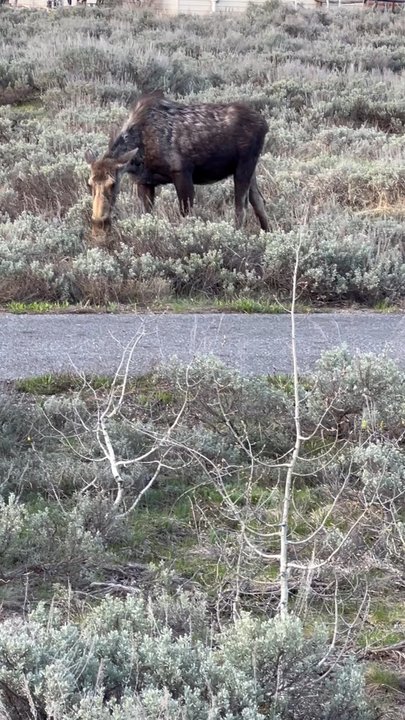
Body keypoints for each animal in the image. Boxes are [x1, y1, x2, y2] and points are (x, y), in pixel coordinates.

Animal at [85, 92, 269, 233]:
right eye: (89, 184)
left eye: (113, 183)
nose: (98, 220)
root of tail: (265, 124)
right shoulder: (144, 181)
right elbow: (147, 214)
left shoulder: (182, 172)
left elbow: (186, 214)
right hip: (249, 169)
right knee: (259, 202)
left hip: (245, 164)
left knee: (241, 208)